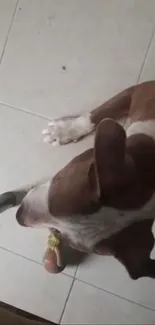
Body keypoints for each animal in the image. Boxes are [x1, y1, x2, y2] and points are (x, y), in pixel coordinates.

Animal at [0, 80, 155, 278]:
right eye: (59, 179)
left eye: (67, 239)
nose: (19, 217)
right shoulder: (142, 89)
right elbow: (98, 115)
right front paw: (64, 131)